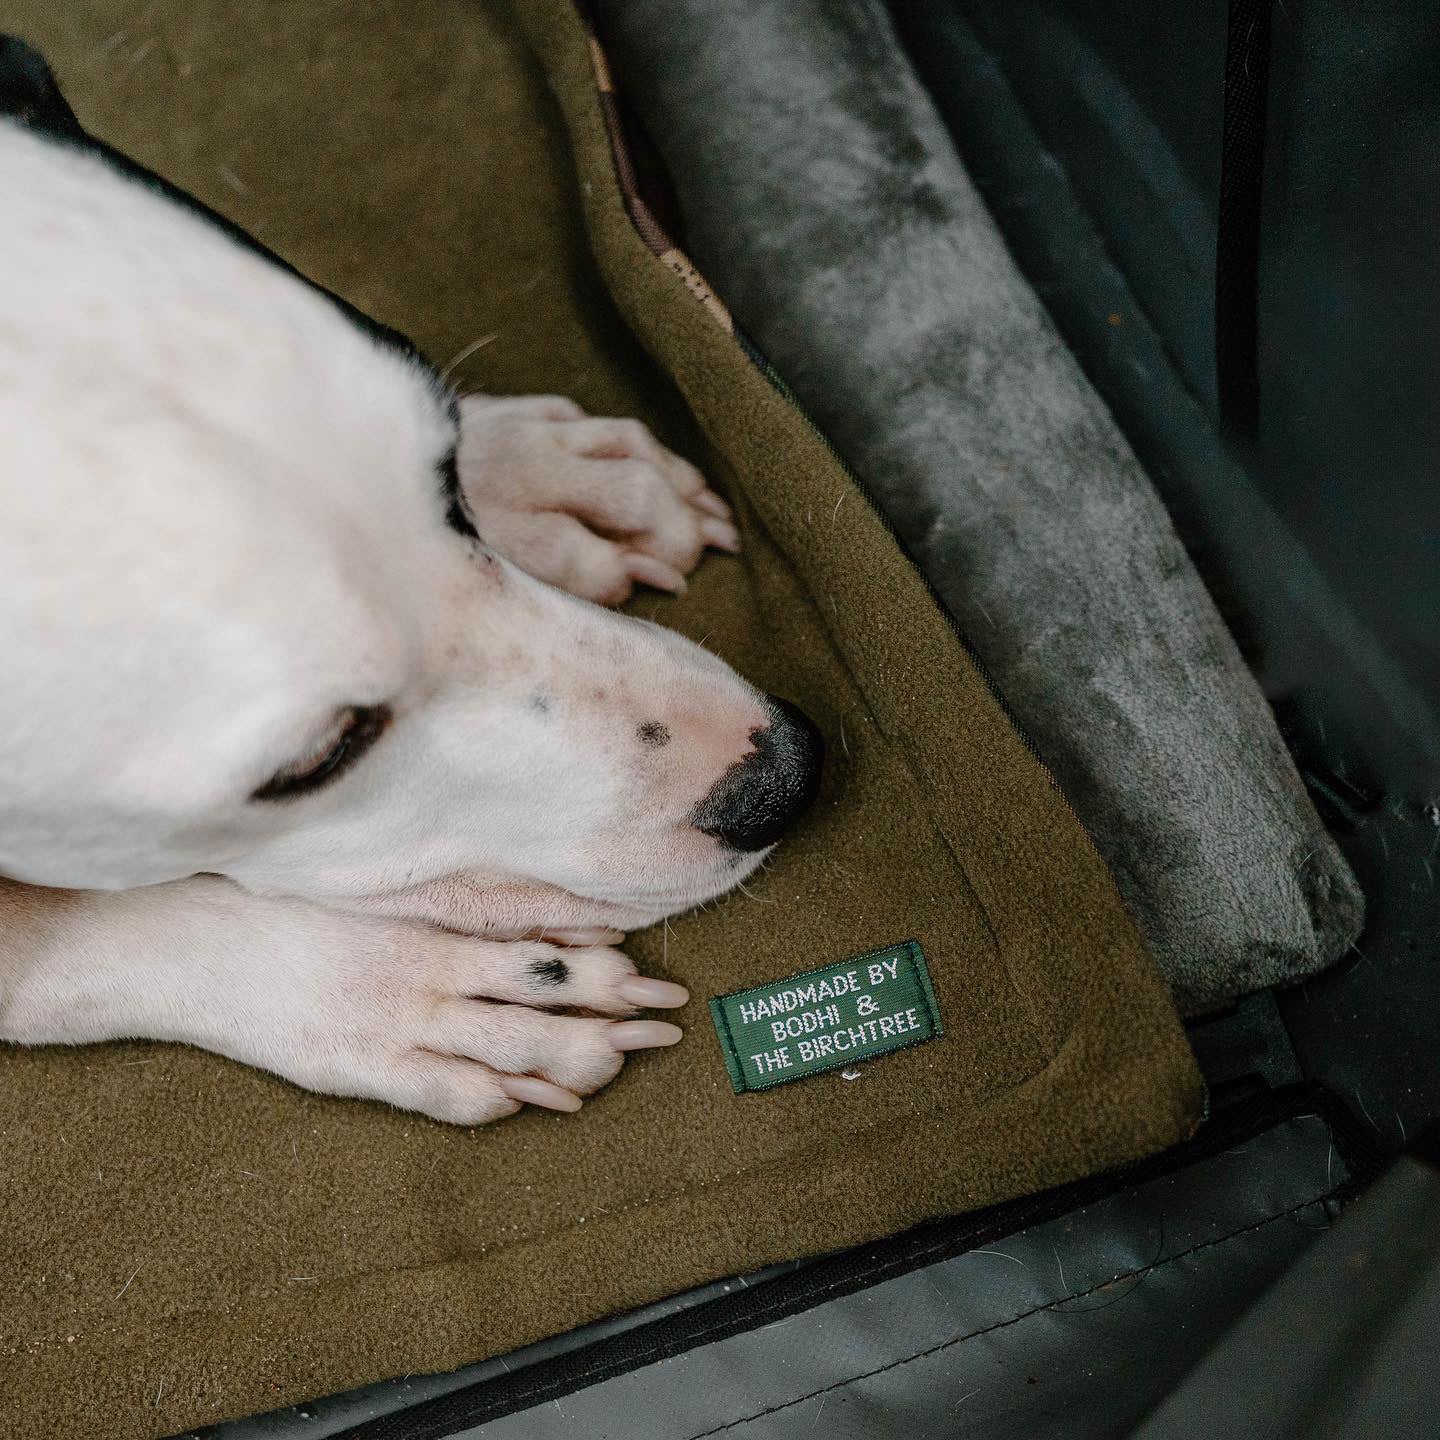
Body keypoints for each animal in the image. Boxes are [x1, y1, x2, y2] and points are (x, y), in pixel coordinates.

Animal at [0, 42, 823, 1123]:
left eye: (448, 475)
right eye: (317, 759)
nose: (785, 775)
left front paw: (534, 477)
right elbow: (52, 942)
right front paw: (395, 989)